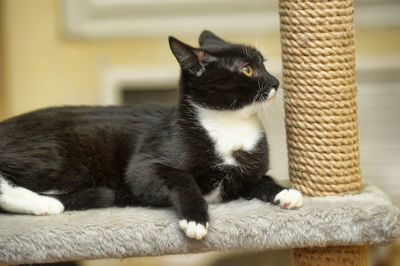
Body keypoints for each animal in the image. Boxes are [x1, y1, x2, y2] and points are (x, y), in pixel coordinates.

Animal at [0, 30, 300, 239]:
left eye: (263, 64)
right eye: (247, 70)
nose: (275, 81)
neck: (229, 124)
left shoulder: (248, 173)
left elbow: (262, 179)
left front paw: (285, 192)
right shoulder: (147, 165)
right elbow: (180, 180)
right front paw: (195, 218)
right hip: (59, 159)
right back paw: (45, 203)